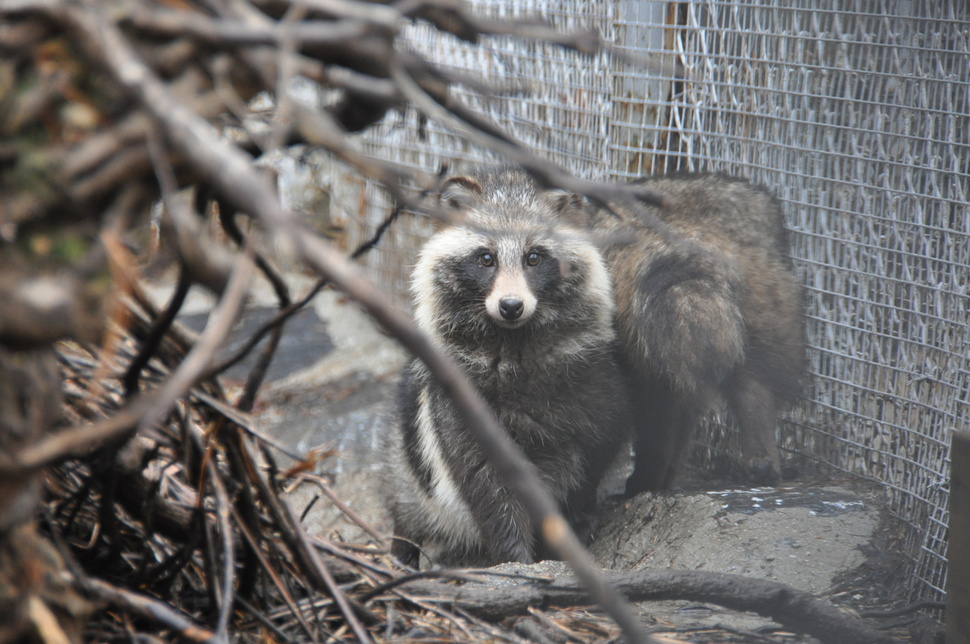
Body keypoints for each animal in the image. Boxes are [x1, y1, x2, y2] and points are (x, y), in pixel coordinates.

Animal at [382, 169, 632, 568]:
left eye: (534, 257)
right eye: (486, 258)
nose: (511, 306)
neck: (513, 341)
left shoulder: (593, 379)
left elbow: (594, 454)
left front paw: (574, 520)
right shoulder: (458, 405)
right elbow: (487, 484)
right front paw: (515, 556)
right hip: (402, 461)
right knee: (407, 502)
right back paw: (402, 548)